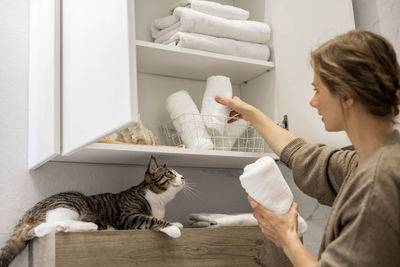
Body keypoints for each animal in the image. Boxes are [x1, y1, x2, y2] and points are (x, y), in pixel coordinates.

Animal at [0, 156, 184, 266]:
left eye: (178, 173)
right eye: (170, 173)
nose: (183, 177)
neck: (159, 202)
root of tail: (26, 214)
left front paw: (176, 222)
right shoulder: (129, 216)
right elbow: (151, 219)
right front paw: (172, 228)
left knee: (36, 230)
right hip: (71, 202)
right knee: (51, 222)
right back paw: (87, 226)